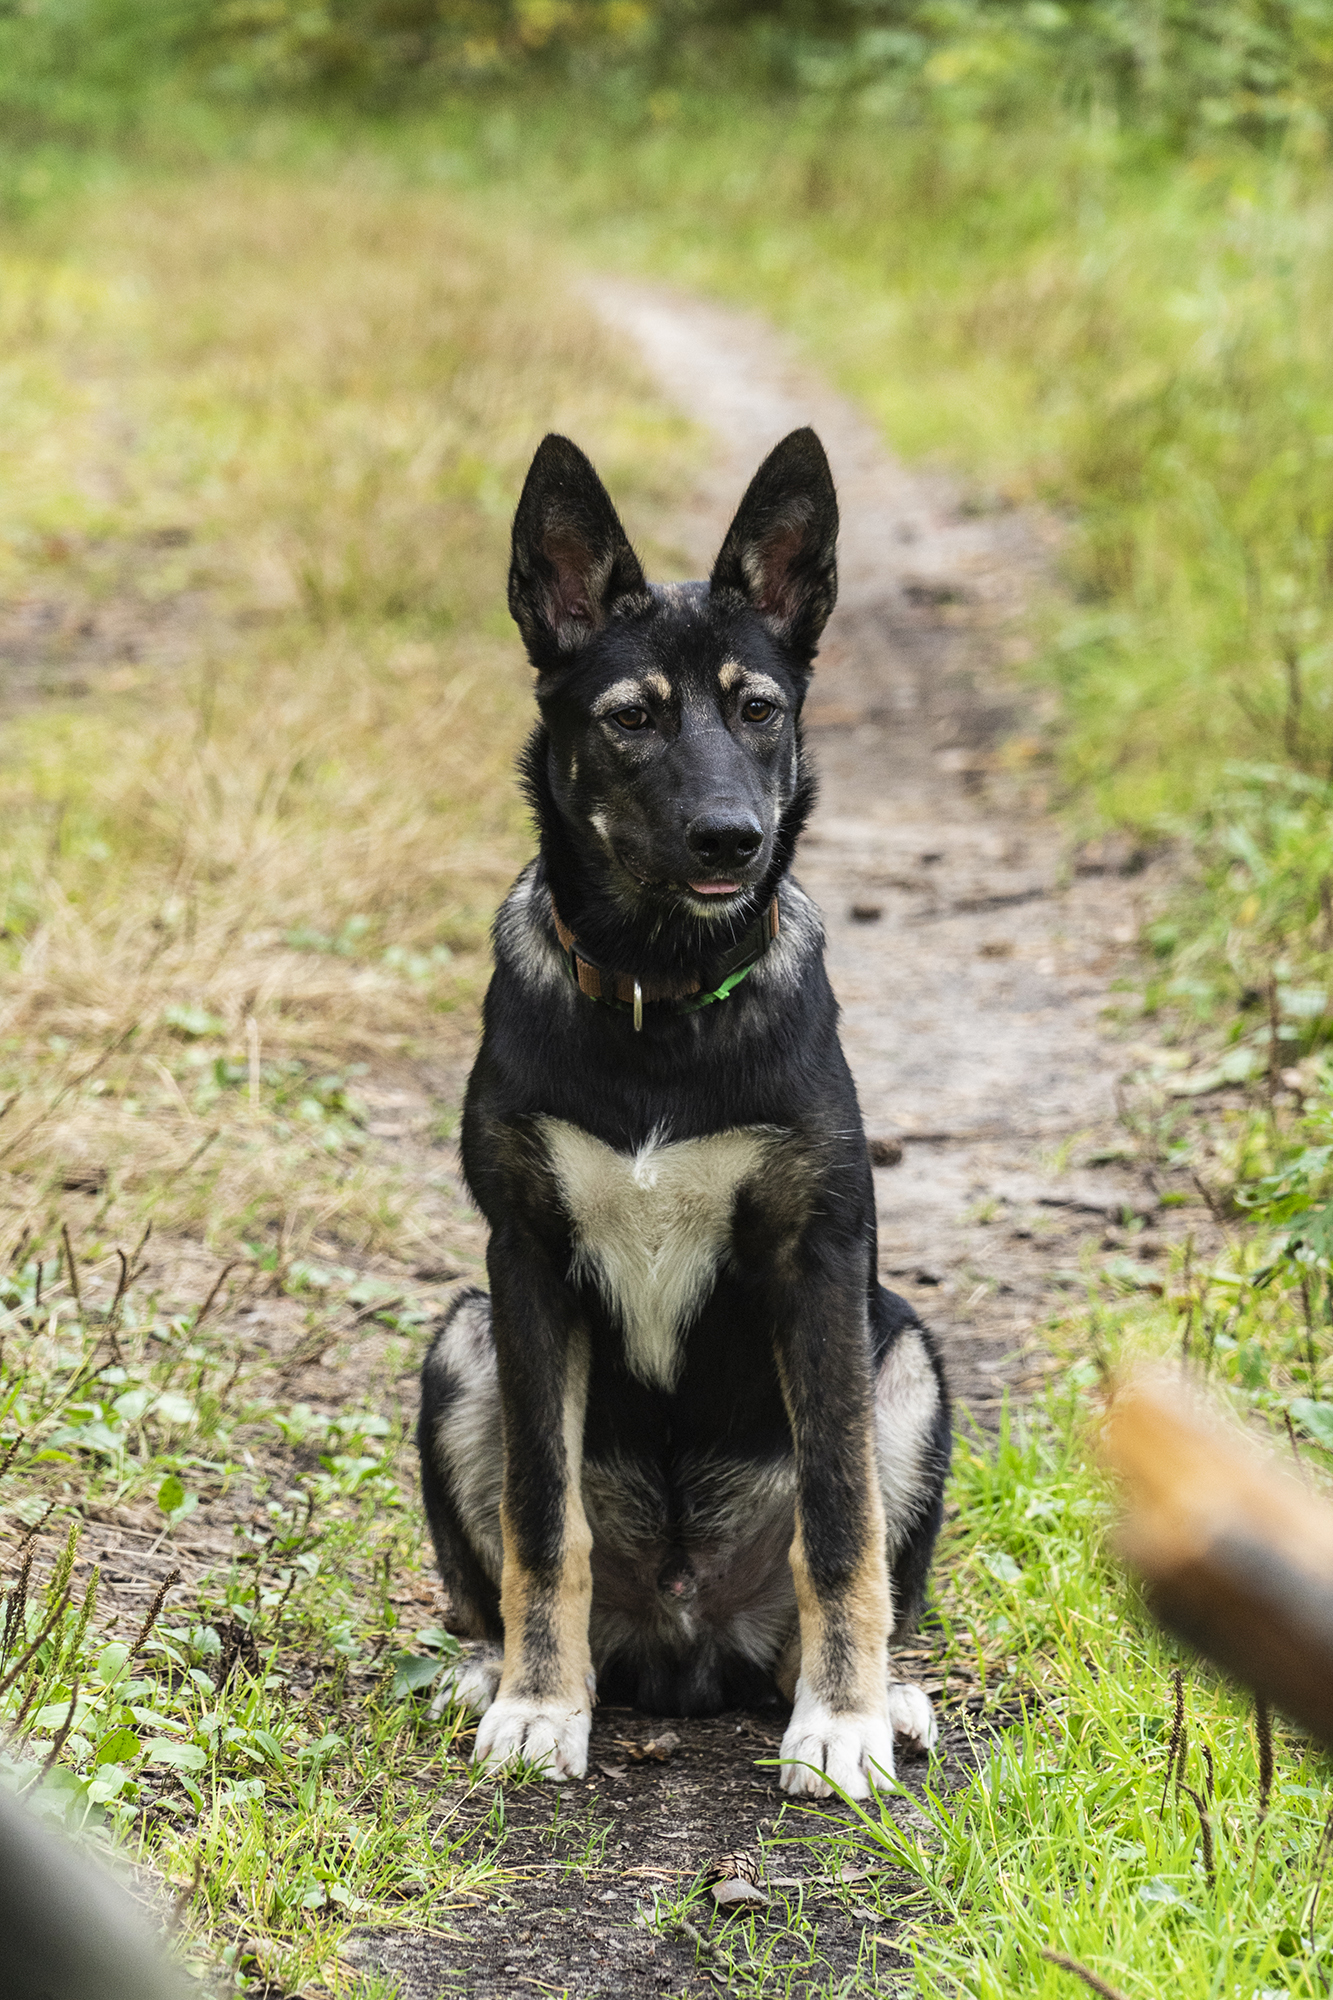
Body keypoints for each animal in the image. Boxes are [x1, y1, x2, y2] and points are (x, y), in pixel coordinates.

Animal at [416, 430, 944, 1808]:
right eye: (631, 717)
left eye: (759, 708)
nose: (731, 839)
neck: (661, 990)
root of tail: (687, 1639)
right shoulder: (524, 1260)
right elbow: (541, 1520)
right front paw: (541, 1706)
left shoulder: (819, 1259)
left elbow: (840, 1523)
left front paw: (842, 1724)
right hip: (459, 1341)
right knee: (503, 1570)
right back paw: (493, 1667)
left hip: (905, 1356)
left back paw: (875, 1691)